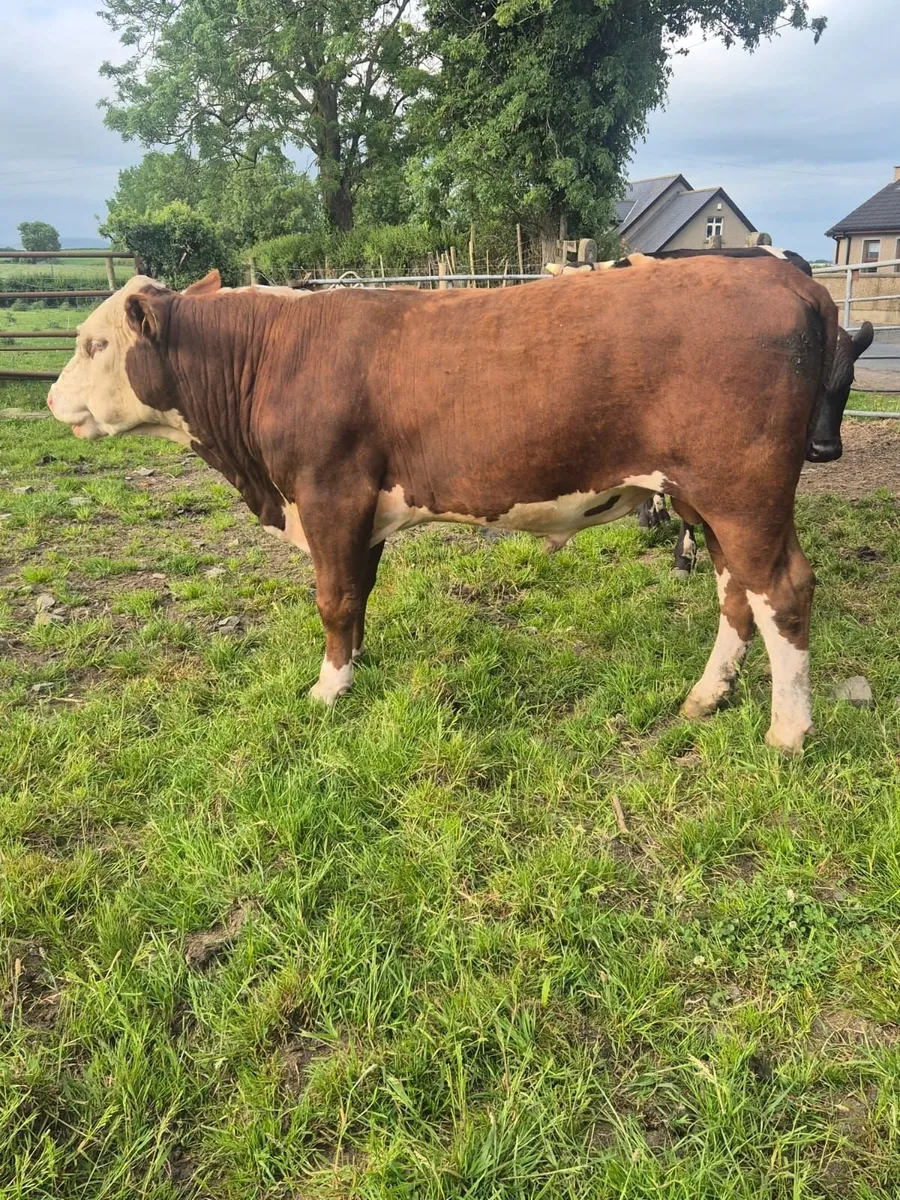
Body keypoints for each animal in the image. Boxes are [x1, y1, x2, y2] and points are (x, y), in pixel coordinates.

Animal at [47, 259, 837, 753]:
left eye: (93, 344)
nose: (52, 399)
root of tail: (786, 279)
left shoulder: (329, 491)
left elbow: (333, 596)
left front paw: (328, 688)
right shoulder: (361, 507)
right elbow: (359, 592)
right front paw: (356, 662)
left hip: (743, 492)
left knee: (782, 591)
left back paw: (788, 731)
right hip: (706, 498)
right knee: (737, 591)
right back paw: (707, 696)